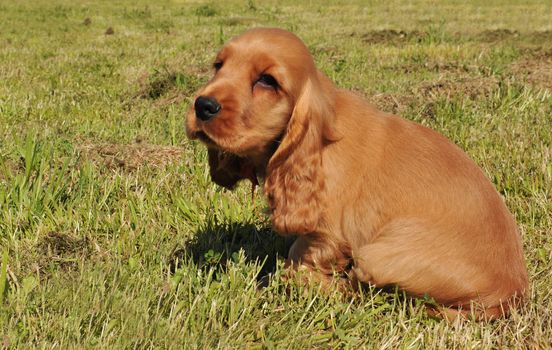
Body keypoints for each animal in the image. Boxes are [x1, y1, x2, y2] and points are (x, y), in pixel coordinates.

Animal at [185, 28, 528, 320]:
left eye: (267, 81)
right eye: (218, 66)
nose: (202, 105)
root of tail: (509, 295)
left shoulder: (330, 232)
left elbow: (299, 258)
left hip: (378, 256)